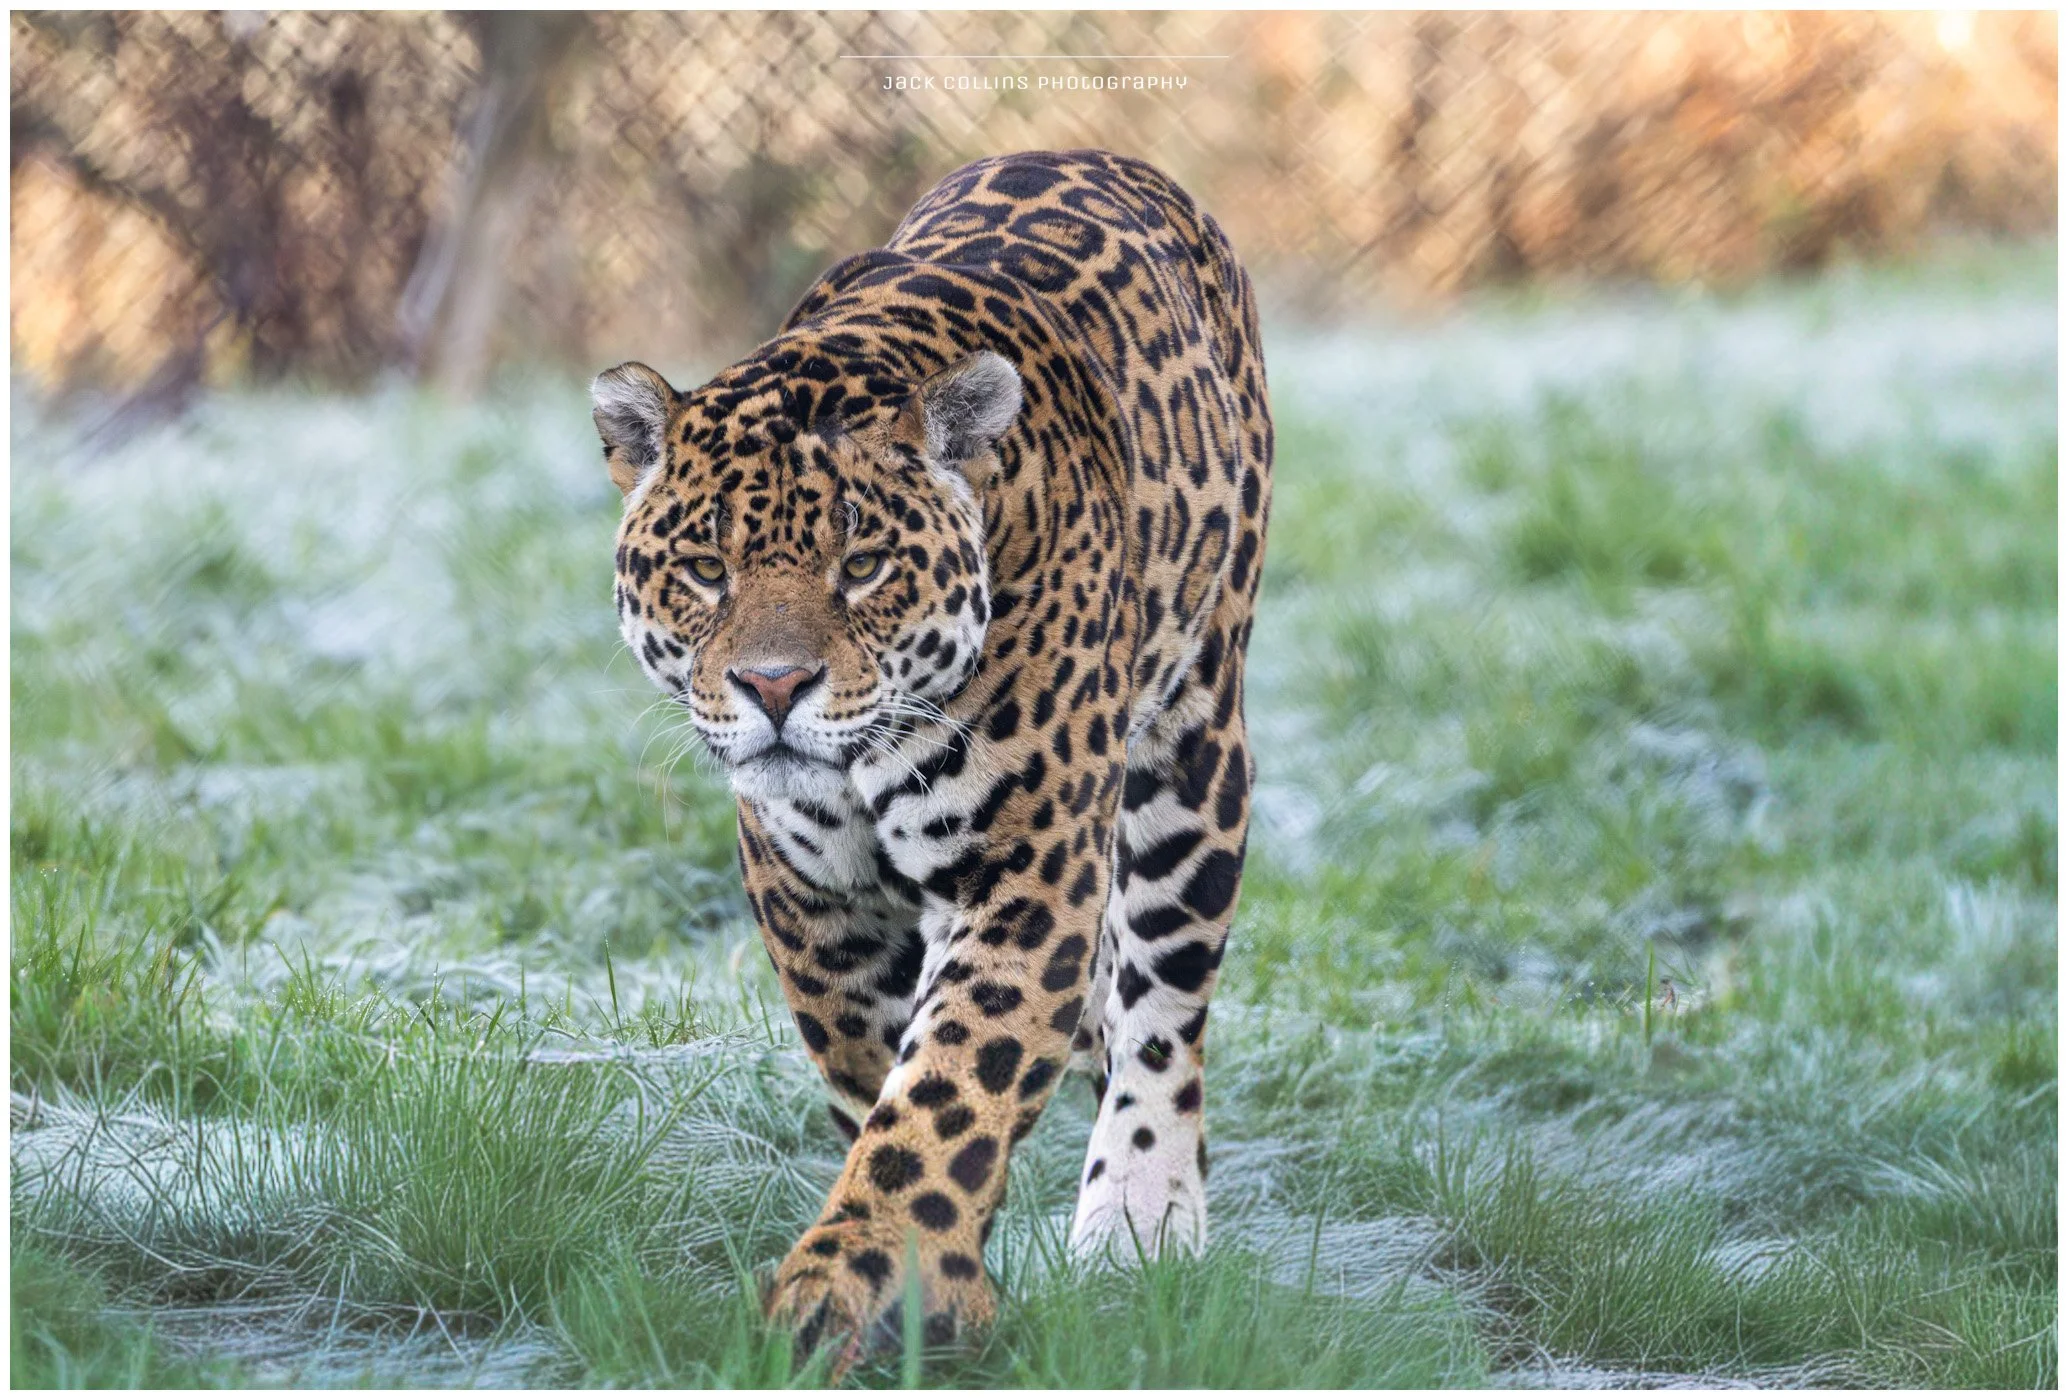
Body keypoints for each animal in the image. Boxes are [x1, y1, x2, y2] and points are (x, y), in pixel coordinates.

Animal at [594, 148, 1272, 1361]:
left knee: (1162, 1007)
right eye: (706, 571)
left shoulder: (1025, 865)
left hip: (1194, 751)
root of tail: (1094, 152)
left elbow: (952, 1079)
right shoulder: (808, 889)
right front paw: (938, 1280)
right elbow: (883, 1072)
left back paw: (1142, 1218)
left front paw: (855, 1282)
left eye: (862, 565)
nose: (774, 688)